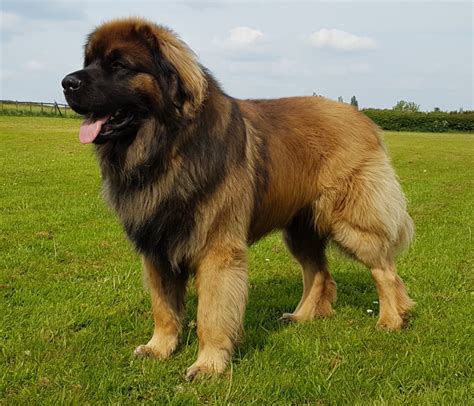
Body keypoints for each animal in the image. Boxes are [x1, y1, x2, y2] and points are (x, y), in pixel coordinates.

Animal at [61, 17, 412, 380]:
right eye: (89, 61)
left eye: (118, 65)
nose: (66, 83)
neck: (167, 149)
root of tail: (365, 120)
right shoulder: (156, 247)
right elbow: (163, 307)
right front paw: (159, 348)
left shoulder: (217, 248)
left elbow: (211, 312)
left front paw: (208, 364)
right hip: (300, 229)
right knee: (318, 273)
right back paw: (301, 316)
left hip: (350, 222)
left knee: (385, 270)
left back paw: (391, 319)